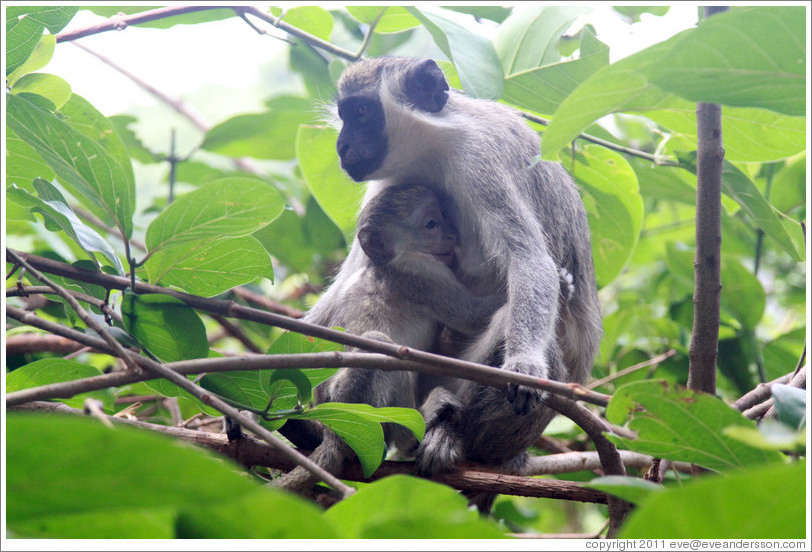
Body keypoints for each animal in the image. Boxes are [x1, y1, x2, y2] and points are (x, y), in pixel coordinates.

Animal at [282, 183, 504, 494]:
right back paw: (415, 431)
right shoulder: (422, 274)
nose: (451, 236)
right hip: (352, 407)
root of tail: (332, 433)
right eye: (431, 224)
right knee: (380, 349)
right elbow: (472, 315)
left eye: (443, 217)